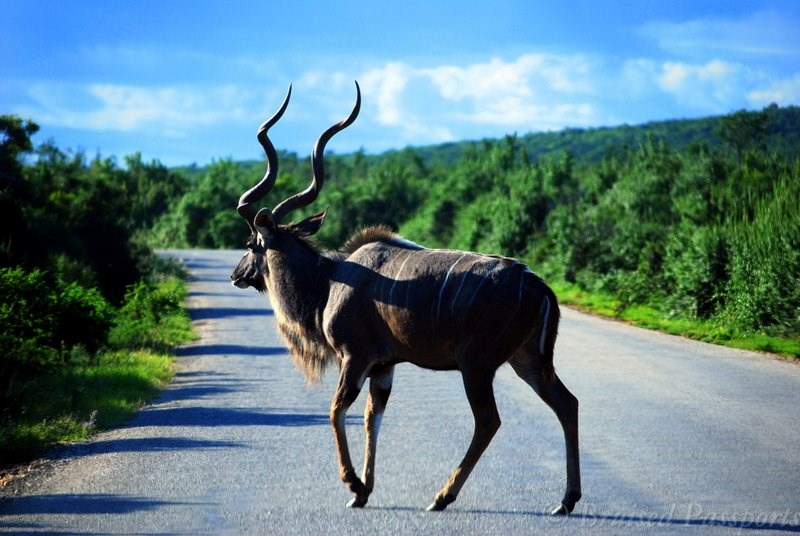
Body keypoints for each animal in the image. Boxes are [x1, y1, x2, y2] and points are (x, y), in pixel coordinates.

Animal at [231, 82, 580, 516]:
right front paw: (363, 491)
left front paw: (353, 485)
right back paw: (565, 500)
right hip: (527, 360)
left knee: (489, 420)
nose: (236, 274)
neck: (327, 282)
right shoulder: (384, 366)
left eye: (252, 243)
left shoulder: (355, 357)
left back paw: (442, 497)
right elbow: (372, 418)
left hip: (477, 364)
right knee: (567, 404)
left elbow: (336, 410)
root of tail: (536, 283)